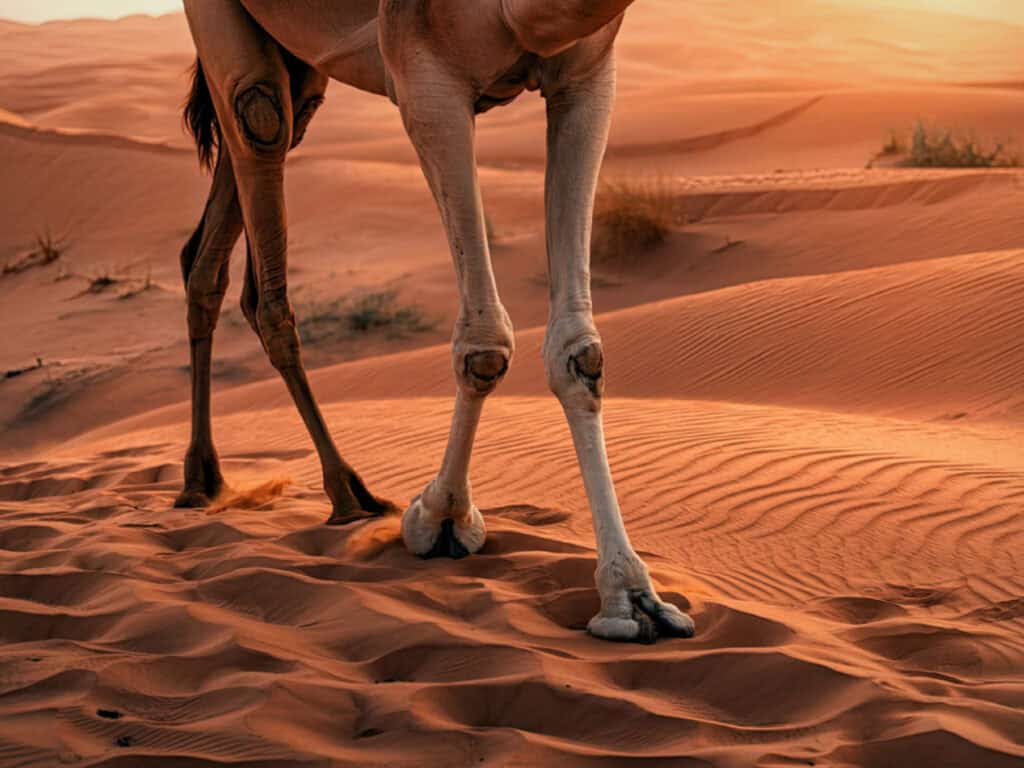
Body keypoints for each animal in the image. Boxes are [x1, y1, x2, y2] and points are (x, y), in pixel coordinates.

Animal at [177, 0, 694, 643]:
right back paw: (343, 492)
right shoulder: (425, 76)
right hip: (227, 37)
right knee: (259, 118)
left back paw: (205, 478)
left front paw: (632, 594)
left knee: (208, 255)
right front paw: (441, 516)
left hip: (301, 71)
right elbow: (484, 345)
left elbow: (580, 352)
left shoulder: (587, 74)